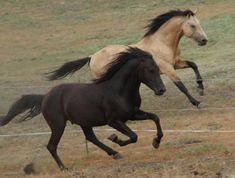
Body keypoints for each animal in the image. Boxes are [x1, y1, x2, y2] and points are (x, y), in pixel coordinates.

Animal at [0, 48, 165, 170]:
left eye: (158, 69)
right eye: (150, 70)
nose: (161, 90)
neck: (118, 91)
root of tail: (44, 97)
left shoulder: (133, 114)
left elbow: (155, 117)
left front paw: (156, 142)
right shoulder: (114, 120)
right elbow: (133, 136)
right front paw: (115, 138)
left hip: (84, 122)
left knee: (91, 138)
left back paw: (114, 154)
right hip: (58, 125)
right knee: (52, 146)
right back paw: (64, 168)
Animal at [47, 9, 207, 107]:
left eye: (199, 24)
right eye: (192, 25)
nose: (204, 40)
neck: (161, 43)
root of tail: (92, 56)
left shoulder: (176, 63)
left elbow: (194, 65)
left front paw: (200, 88)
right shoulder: (168, 69)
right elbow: (181, 86)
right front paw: (197, 102)